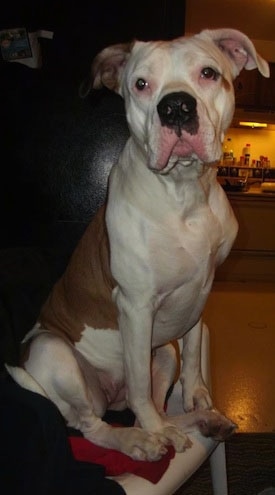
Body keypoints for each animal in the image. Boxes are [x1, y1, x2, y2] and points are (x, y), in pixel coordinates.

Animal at [7, 29, 270, 464]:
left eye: (209, 73)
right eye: (141, 84)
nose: (176, 107)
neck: (184, 192)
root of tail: (108, 398)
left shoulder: (201, 292)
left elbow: (194, 347)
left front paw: (198, 397)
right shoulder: (135, 305)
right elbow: (140, 391)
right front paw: (155, 432)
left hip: (161, 350)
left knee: (155, 404)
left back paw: (198, 422)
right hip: (53, 352)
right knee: (98, 423)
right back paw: (141, 439)